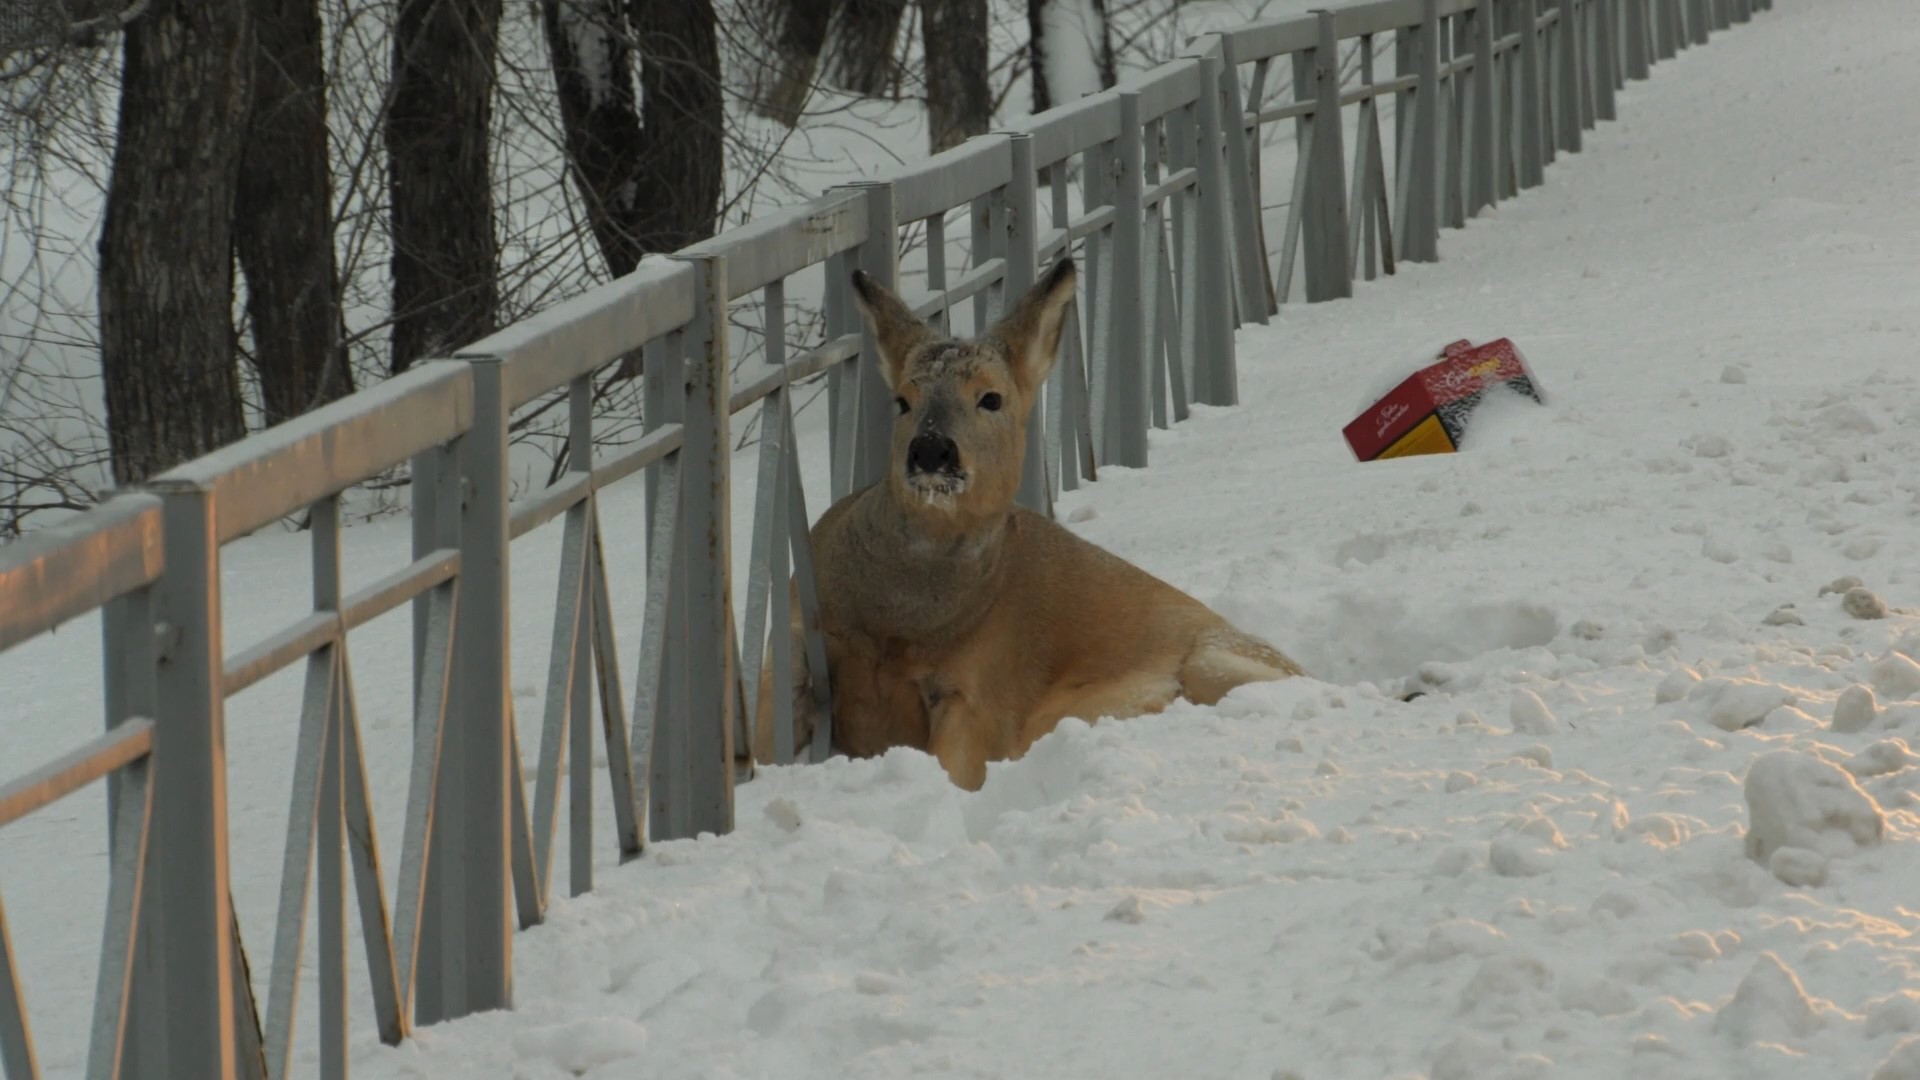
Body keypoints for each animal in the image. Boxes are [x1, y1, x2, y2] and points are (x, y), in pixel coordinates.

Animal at [748, 255, 1305, 787]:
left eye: (991, 397)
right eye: (902, 400)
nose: (930, 450)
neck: (899, 627)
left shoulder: (983, 689)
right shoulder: (794, 636)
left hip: (1218, 659)